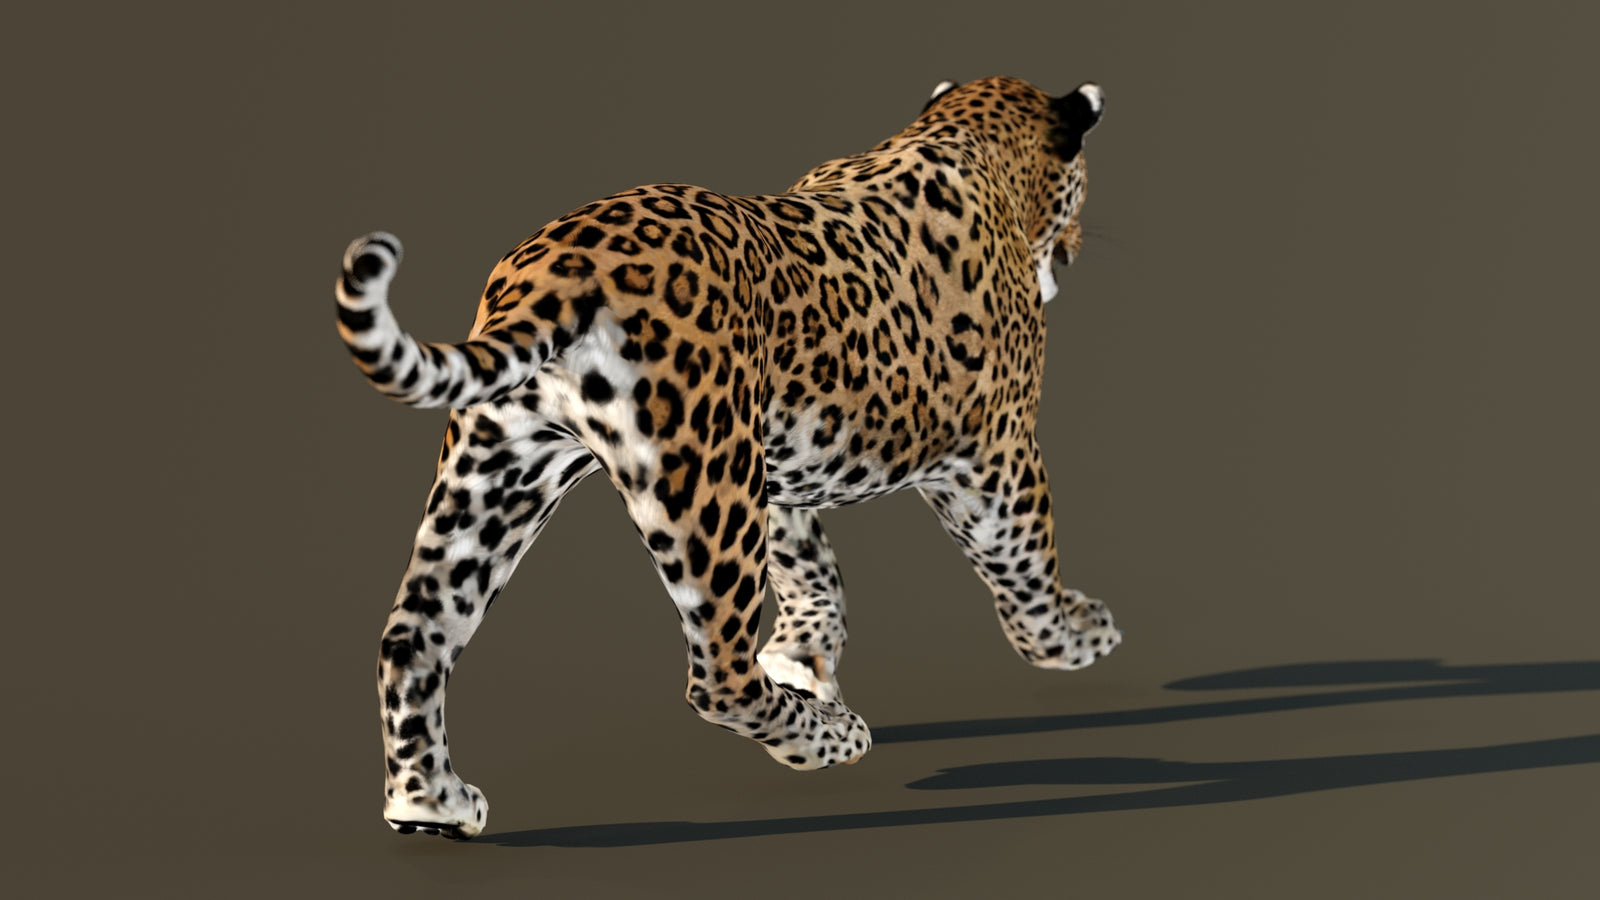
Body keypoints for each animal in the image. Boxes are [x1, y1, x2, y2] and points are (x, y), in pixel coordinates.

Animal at [334, 75, 1119, 840]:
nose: (1080, 245)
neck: (968, 138)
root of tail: (558, 265)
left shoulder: (783, 462)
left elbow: (811, 569)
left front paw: (802, 655)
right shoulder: (995, 456)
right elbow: (1027, 566)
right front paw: (1075, 635)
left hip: (502, 473)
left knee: (413, 638)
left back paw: (431, 805)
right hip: (706, 483)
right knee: (719, 675)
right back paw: (833, 738)